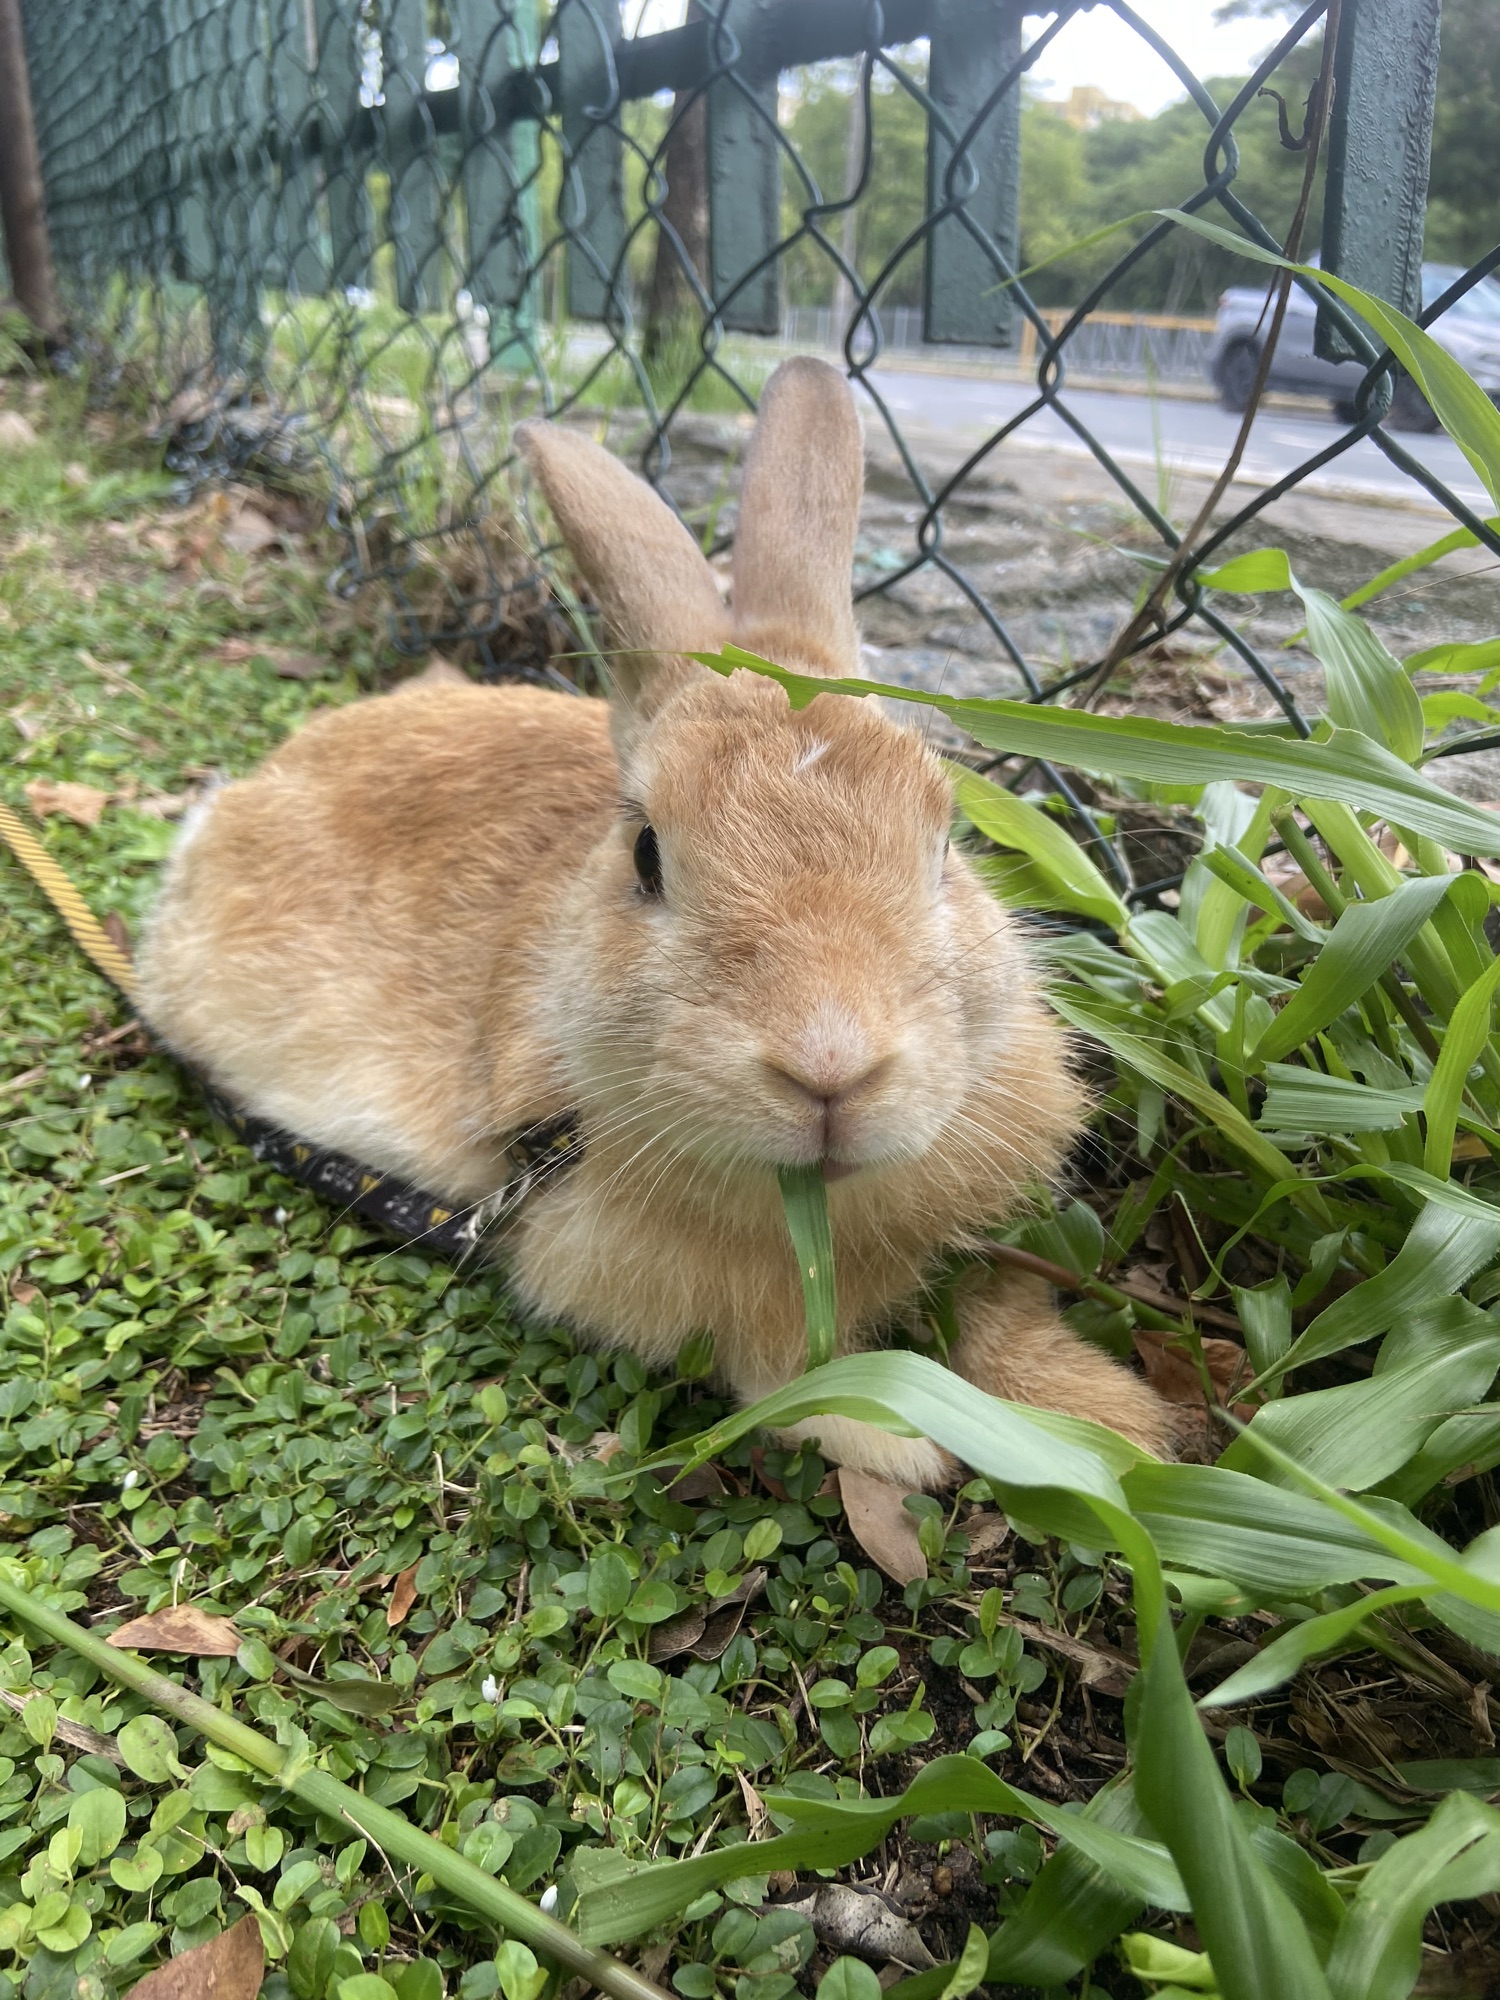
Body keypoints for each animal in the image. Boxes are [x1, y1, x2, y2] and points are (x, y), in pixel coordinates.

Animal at [137, 356, 1174, 1488]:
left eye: (945, 841)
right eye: (645, 854)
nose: (831, 1067)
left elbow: (1000, 1310)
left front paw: (1112, 1423)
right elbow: (792, 1390)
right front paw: (913, 1447)